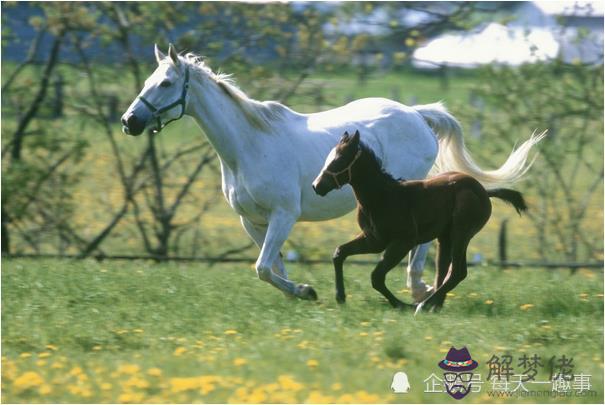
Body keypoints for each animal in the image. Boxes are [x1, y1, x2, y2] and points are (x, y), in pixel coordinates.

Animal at [312, 130, 524, 312]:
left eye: (339, 159)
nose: (316, 186)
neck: (382, 197)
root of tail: (483, 191)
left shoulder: (403, 241)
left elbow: (376, 277)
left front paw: (401, 305)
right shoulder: (374, 240)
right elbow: (339, 253)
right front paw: (340, 297)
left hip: (461, 233)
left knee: (457, 271)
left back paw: (423, 305)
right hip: (445, 237)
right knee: (444, 270)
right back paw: (434, 306)